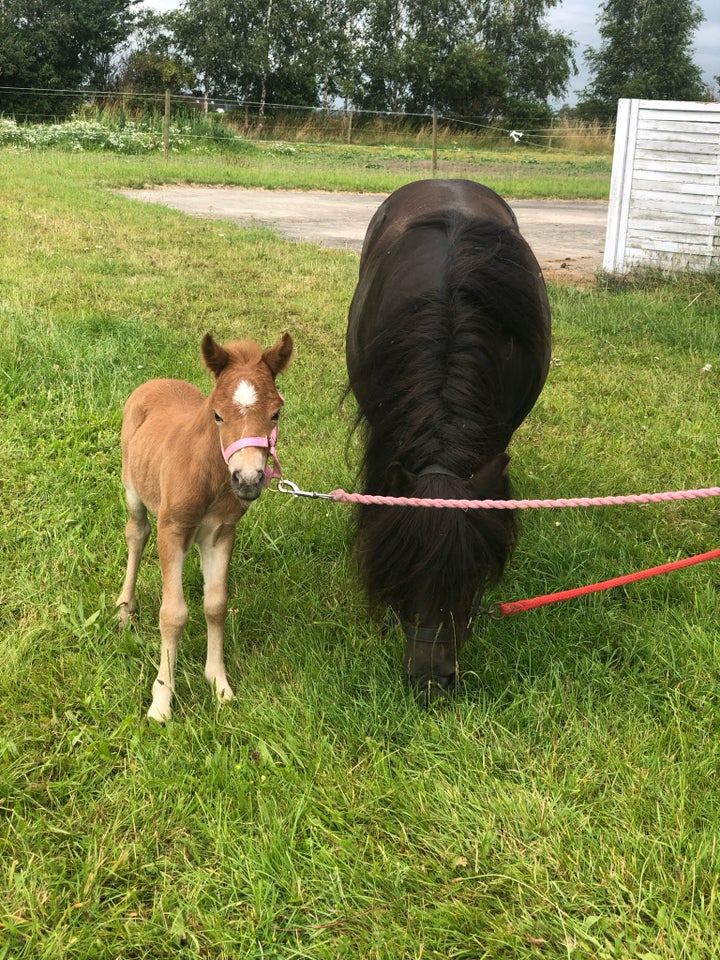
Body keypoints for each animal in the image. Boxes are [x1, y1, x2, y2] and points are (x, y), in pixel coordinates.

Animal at [116, 330, 292, 720]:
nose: (248, 479)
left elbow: (215, 605)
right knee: (136, 534)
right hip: (133, 489)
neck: (209, 475)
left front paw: (219, 684)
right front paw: (161, 701)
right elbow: (173, 613)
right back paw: (124, 608)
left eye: (275, 414)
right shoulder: (172, 530)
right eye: (217, 415)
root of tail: (156, 381)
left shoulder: (221, 534)